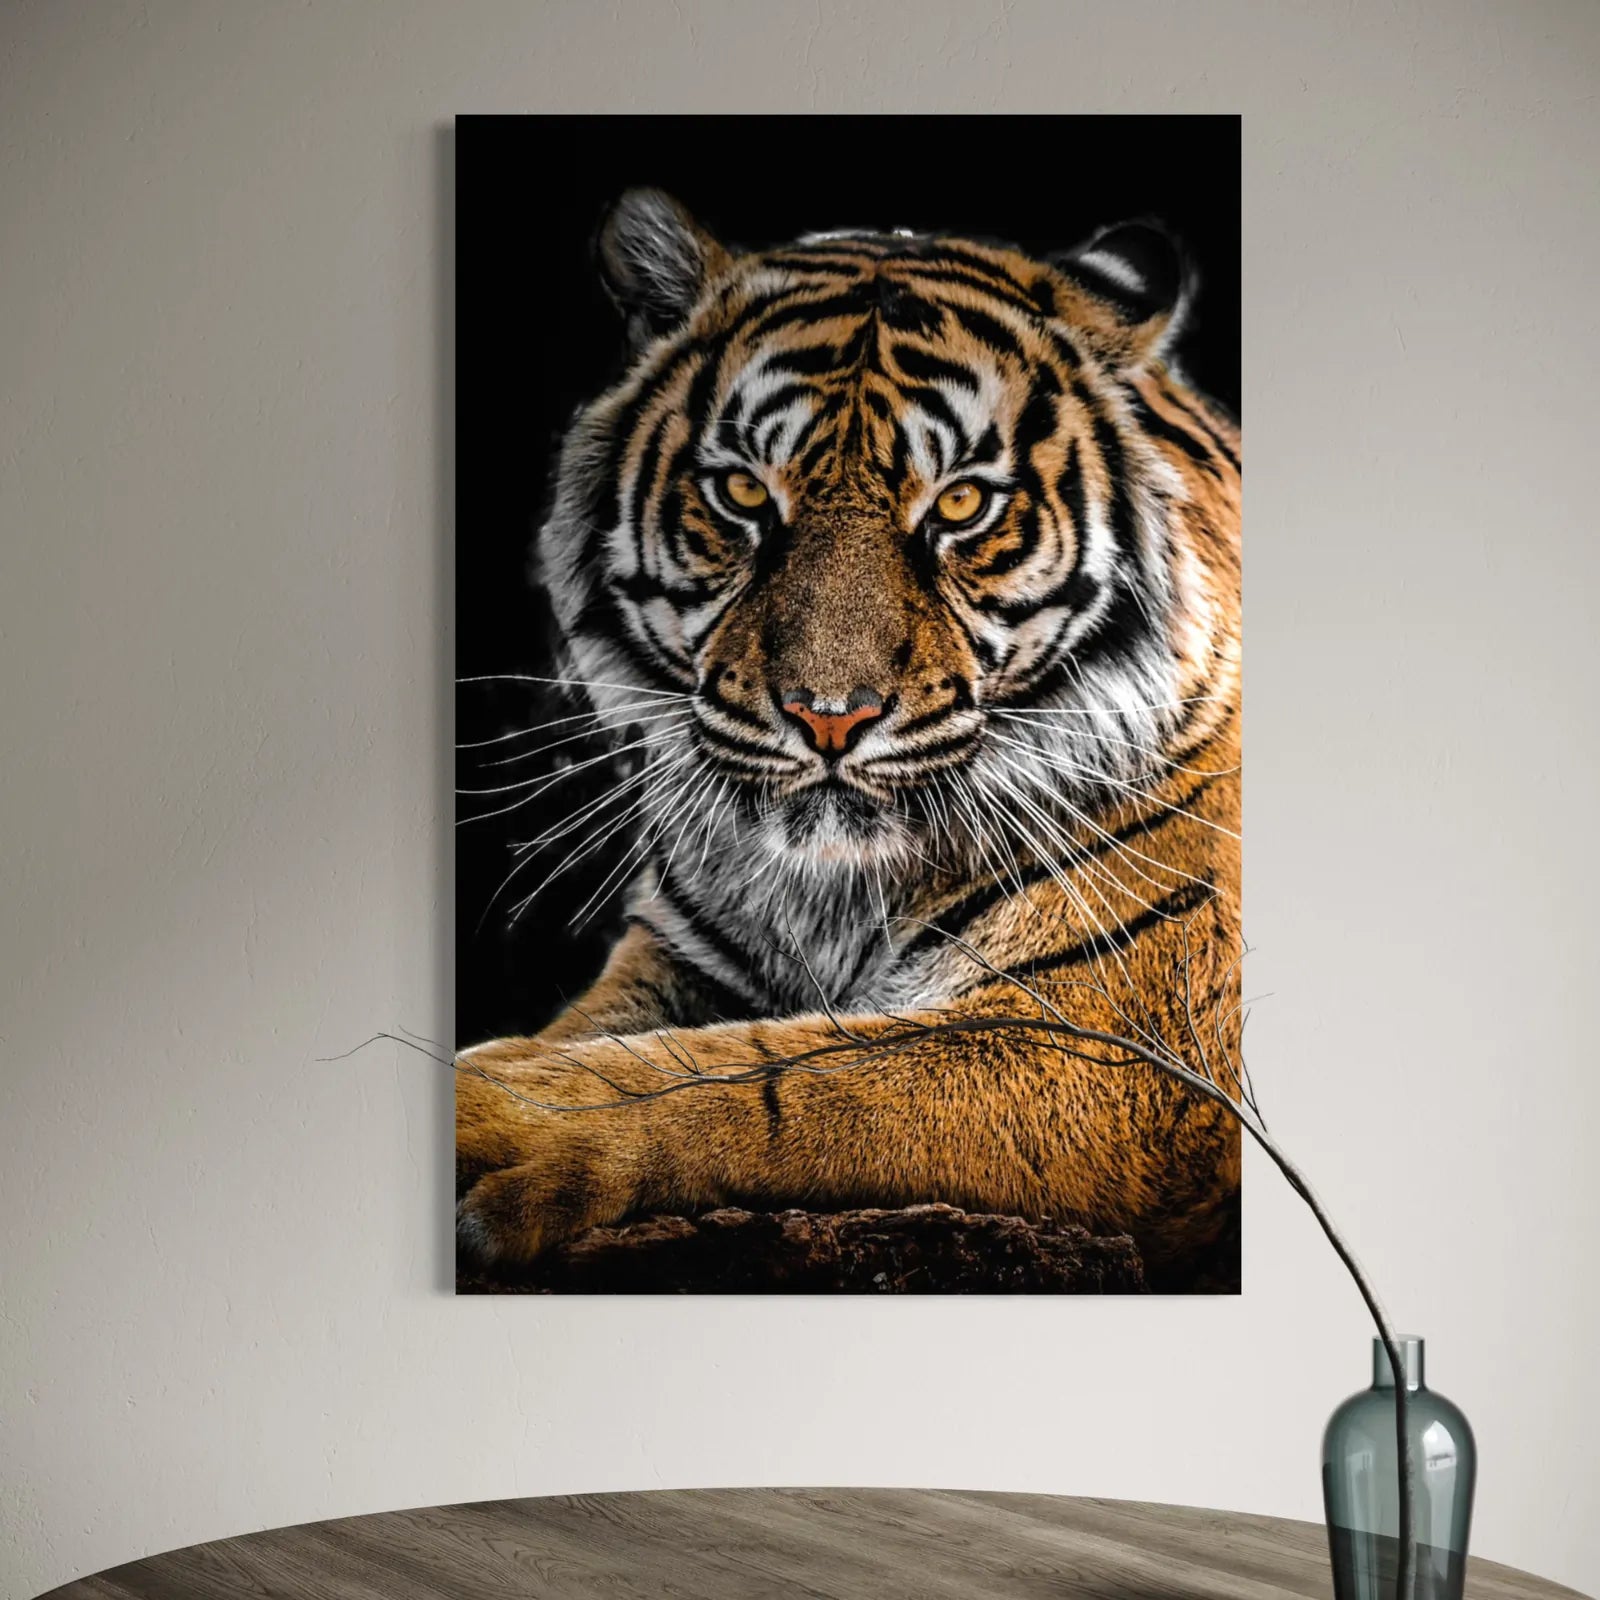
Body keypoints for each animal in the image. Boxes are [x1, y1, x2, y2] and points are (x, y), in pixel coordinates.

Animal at [455, 189, 1242, 1287]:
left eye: (962, 502)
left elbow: (781, 1077)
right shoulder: (678, 958)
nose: (830, 714)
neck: (829, 891)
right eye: (743, 493)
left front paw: (491, 1115)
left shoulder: (1118, 1052)